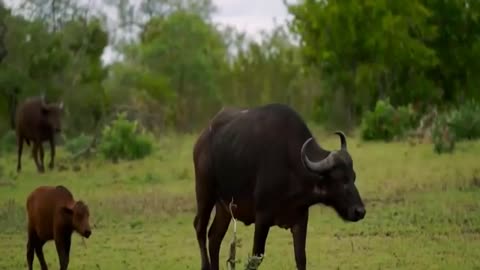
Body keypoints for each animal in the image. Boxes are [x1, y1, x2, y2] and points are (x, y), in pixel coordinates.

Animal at [193, 104, 366, 270]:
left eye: (353, 177)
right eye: (341, 180)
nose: (360, 211)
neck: (291, 165)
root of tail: (201, 140)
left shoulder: (300, 221)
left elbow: (301, 259)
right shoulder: (262, 219)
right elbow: (254, 260)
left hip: (224, 208)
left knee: (214, 237)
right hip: (204, 193)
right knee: (200, 227)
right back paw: (205, 265)